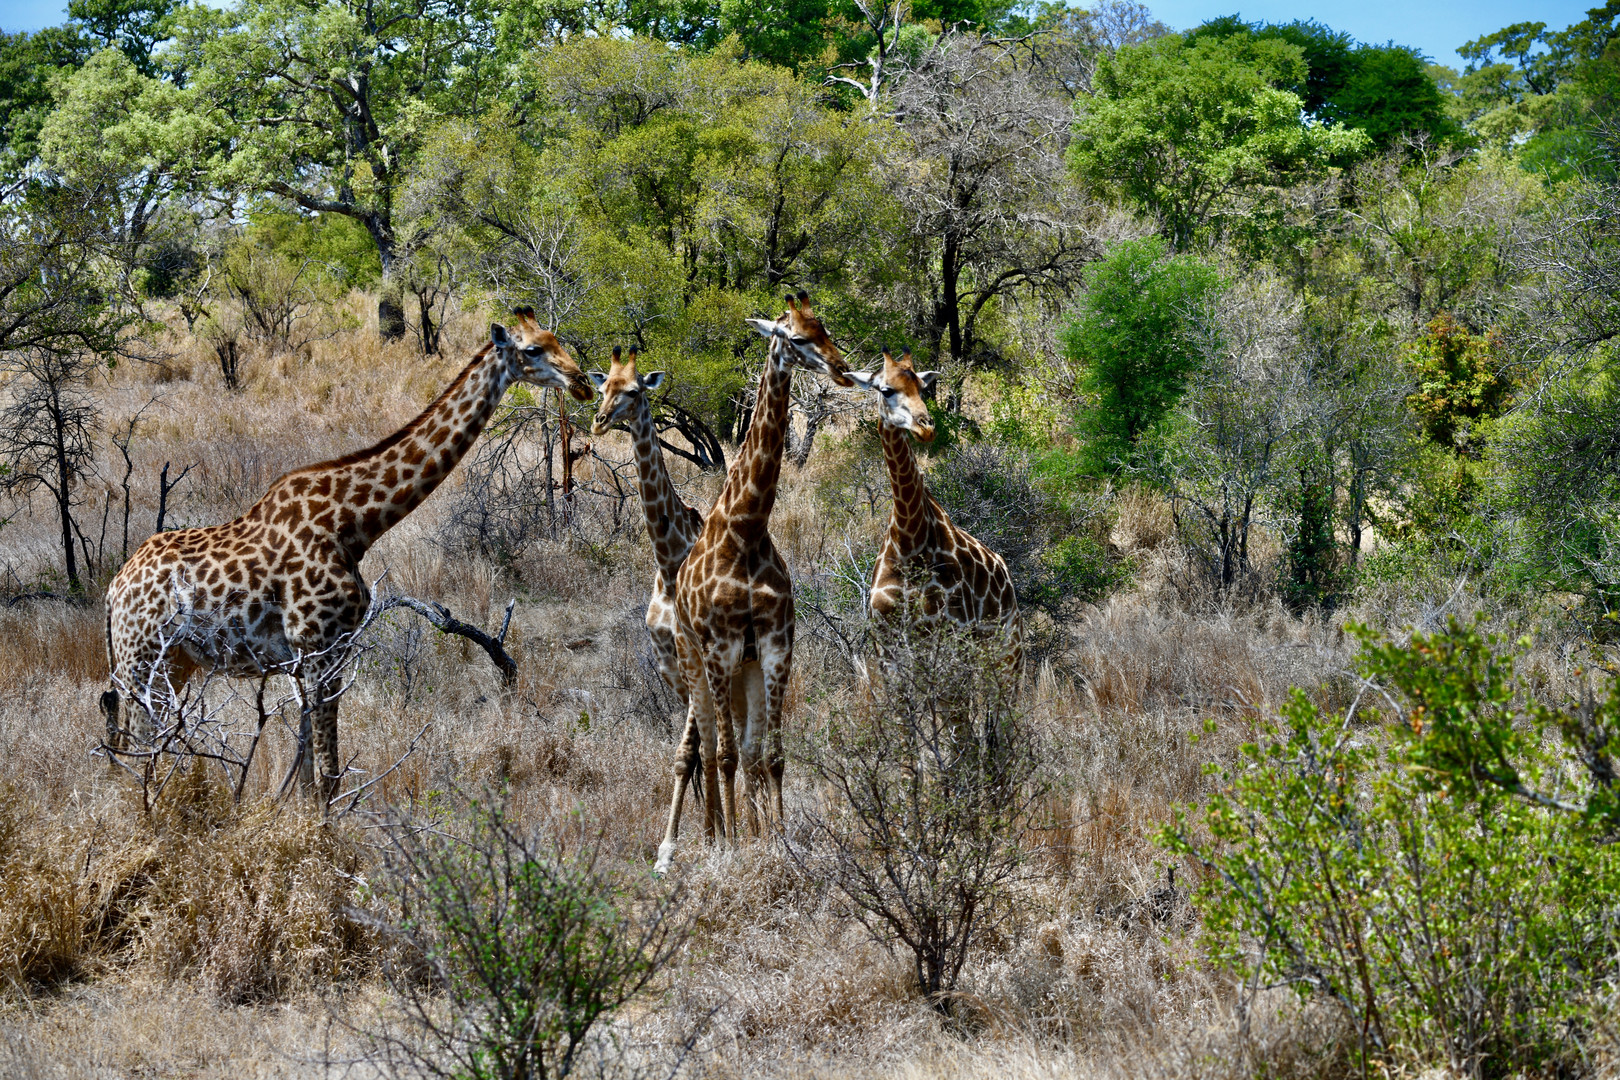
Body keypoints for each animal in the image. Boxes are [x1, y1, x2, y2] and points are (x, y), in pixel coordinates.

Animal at [101, 307, 596, 806]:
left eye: (556, 339)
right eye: (532, 349)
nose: (583, 383)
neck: (355, 525)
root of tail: (112, 591)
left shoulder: (315, 654)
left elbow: (307, 773)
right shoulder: (319, 647)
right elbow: (327, 774)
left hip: (175, 665)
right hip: (142, 662)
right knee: (138, 747)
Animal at [660, 289, 861, 867]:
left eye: (824, 328)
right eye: (793, 336)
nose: (841, 370)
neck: (746, 529)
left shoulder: (774, 643)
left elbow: (771, 755)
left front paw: (777, 839)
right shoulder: (721, 645)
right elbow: (727, 755)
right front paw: (734, 848)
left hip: (742, 668)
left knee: (742, 751)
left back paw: (739, 831)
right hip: (694, 662)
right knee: (708, 747)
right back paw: (711, 839)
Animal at [848, 346, 1023, 683]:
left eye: (922, 387)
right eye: (886, 390)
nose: (926, 427)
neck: (908, 542)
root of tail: (1005, 571)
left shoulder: (949, 635)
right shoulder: (886, 648)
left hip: (1006, 642)